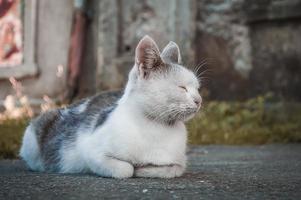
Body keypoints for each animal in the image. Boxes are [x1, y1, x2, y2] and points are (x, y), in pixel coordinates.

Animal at [19, 35, 202, 178]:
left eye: (197, 88)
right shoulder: (91, 152)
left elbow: (171, 169)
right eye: (182, 88)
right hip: (32, 139)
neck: (157, 128)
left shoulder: (179, 162)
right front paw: (135, 167)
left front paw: (145, 168)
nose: (199, 100)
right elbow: (126, 169)